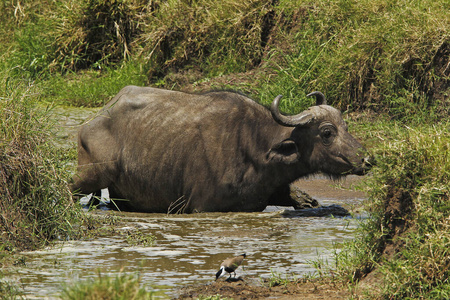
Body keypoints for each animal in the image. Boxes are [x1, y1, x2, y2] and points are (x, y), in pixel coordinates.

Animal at [70, 86, 370, 213]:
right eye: (327, 133)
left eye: (345, 126)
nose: (367, 158)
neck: (255, 148)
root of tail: (91, 122)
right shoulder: (202, 208)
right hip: (91, 175)